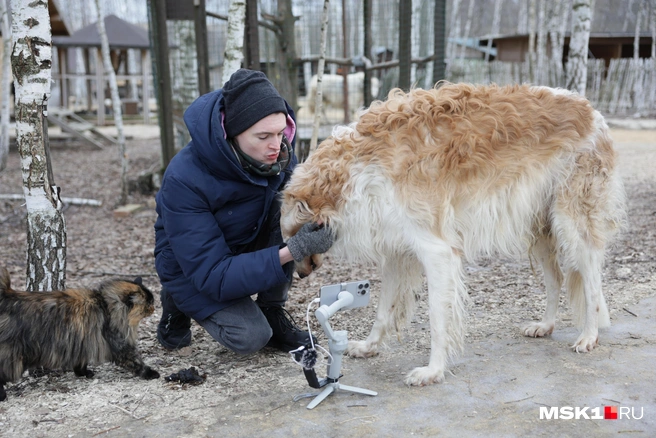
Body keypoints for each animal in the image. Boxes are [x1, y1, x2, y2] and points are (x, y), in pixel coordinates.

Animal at [0, 266, 159, 402]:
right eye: (148, 304)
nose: (154, 308)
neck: (107, 305)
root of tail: (7, 296)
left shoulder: (81, 342)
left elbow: (80, 363)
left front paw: (83, 373)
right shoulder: (119, 344)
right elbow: (136, 361)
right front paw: (151, 373)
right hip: (13, 358)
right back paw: (2, 396)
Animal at [280, 81, 628, 384]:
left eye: (289, 237)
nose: (299, 275)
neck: (355, 170)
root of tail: (593, 111)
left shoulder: (436, 252)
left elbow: (437, 319)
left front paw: (433, 371)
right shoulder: (397, 253)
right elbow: (383, 310)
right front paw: (368, 346)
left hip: (572, 223)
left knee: (592, 282)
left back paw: (589, 336)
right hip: (541, 228)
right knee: (556, 278)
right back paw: (545, 325)